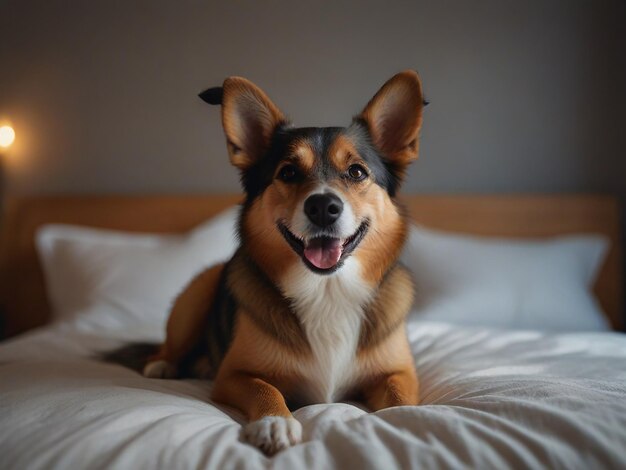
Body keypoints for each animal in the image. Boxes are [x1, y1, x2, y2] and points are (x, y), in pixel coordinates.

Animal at [142, 70, 424, 456]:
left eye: (356, 172)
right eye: (288, 172)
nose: (322, 207)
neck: (327, 289)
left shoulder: (399, 372)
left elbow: (400, 396)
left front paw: (405, 419)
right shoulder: (232, 375)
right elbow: (266, 387)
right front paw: (275, 421)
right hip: (198, 291)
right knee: (167, 346)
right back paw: (161, 365)